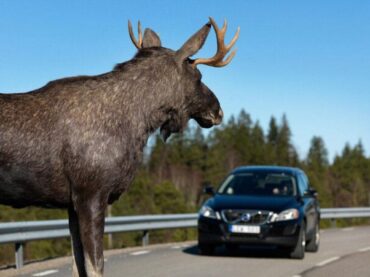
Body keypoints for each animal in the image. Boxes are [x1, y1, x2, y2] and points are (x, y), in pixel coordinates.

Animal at [0, 18, 240, 274]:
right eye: (199, 76)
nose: (218, 111)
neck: (137, 124)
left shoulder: (72, 203)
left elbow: (78, 265)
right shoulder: (91, 194)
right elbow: (95, 266)